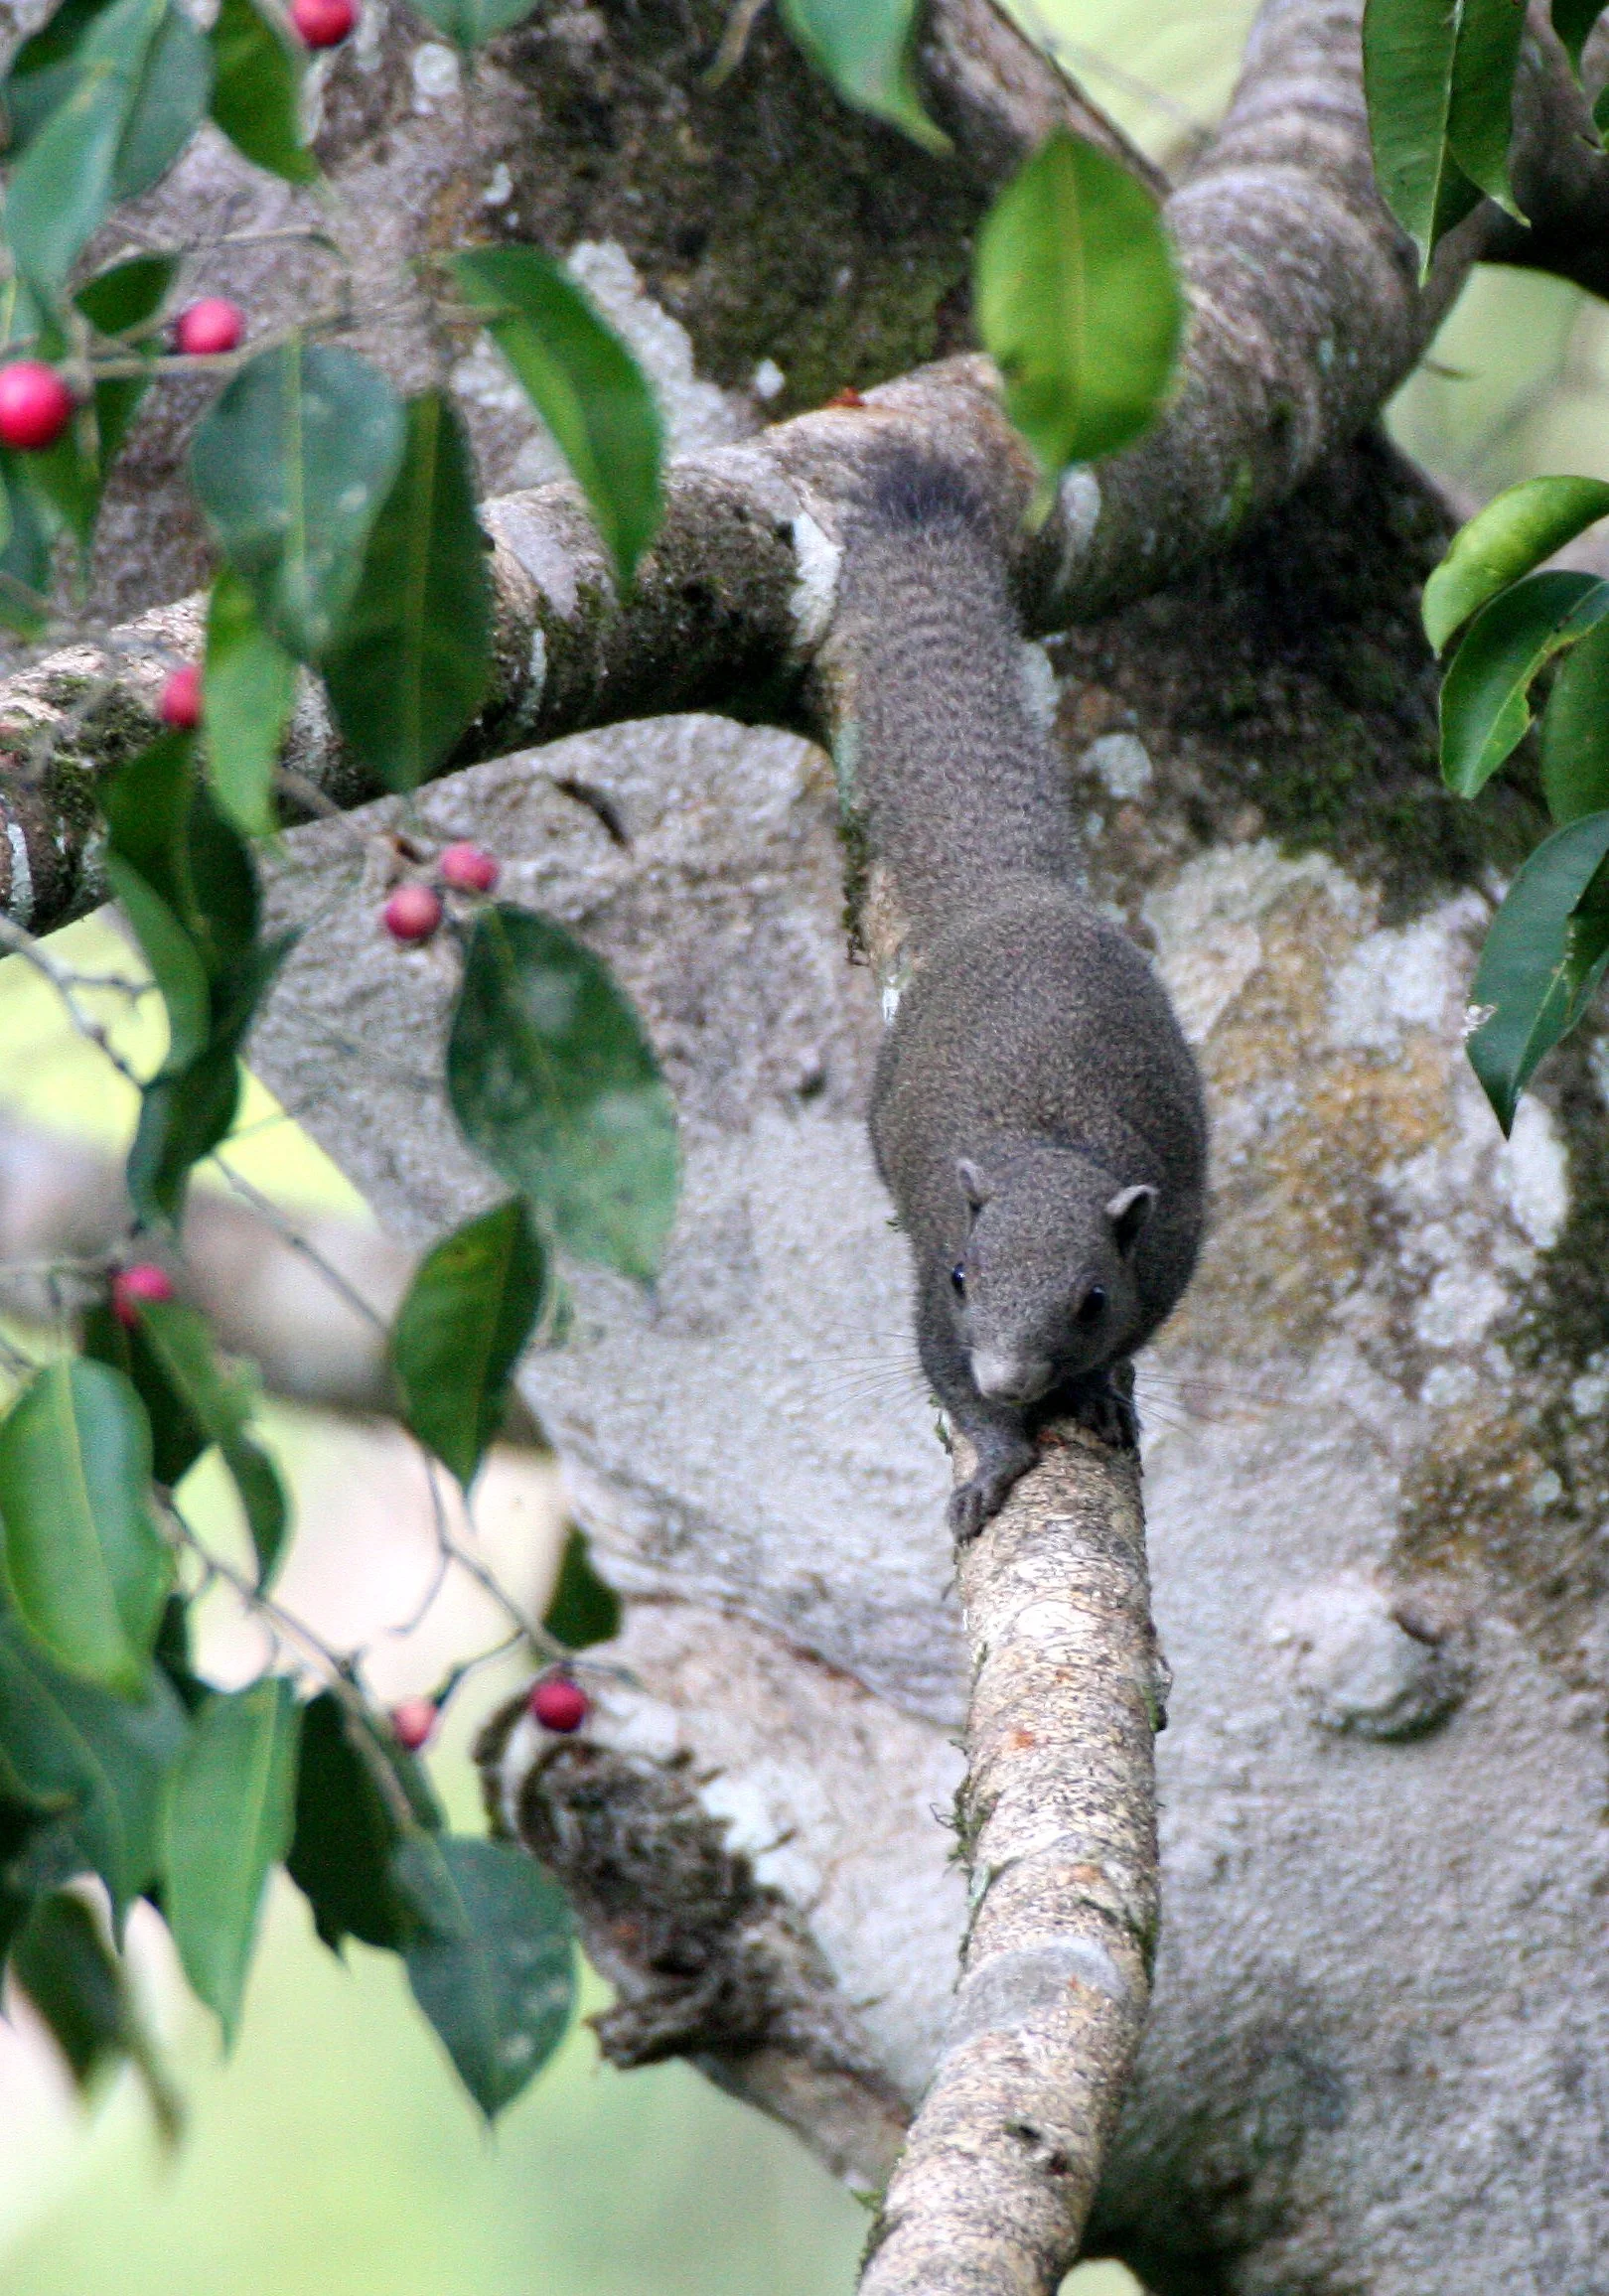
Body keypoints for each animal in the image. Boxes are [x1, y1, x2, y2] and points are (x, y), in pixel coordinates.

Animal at [839, 451, 1208, 1540]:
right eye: (967, 1276)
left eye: (1091, 1300)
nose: (1010, 1375)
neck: (1047, 1147)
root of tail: (1015, 890)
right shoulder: (932, 1287)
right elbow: (946, 1379)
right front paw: (997, 1452)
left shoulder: (1166, 1263)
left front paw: (1095, 1388)